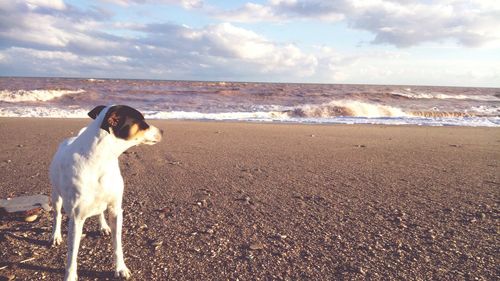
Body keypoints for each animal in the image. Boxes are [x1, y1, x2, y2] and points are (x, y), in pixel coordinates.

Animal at [49, 105, 162, 280]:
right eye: (142, 122)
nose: (163, 131)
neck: (101, 160)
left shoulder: (116, 210)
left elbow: (117, 245)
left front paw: (120, 268)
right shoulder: (76, 218)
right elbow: (72, 253)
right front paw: (70, 275)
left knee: (100, 211)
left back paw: (103, 226)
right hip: (56, 196)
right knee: (57, 215)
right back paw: (56, 235)